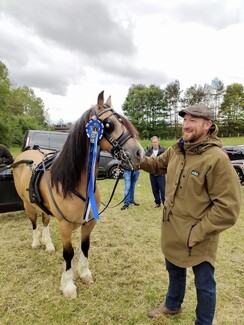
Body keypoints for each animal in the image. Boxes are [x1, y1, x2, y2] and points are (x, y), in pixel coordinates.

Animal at [12, 90, 145, 298]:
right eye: (109, 124)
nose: (139, 153)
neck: (75, 183)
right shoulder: (65, 225)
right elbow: (69, 253)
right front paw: (68, 286)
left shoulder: (89, 223)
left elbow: (85, 247)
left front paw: (84, 274)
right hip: (27, 204)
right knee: (34, 223)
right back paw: (36, 243)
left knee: (45, 221)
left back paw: (48, 244)